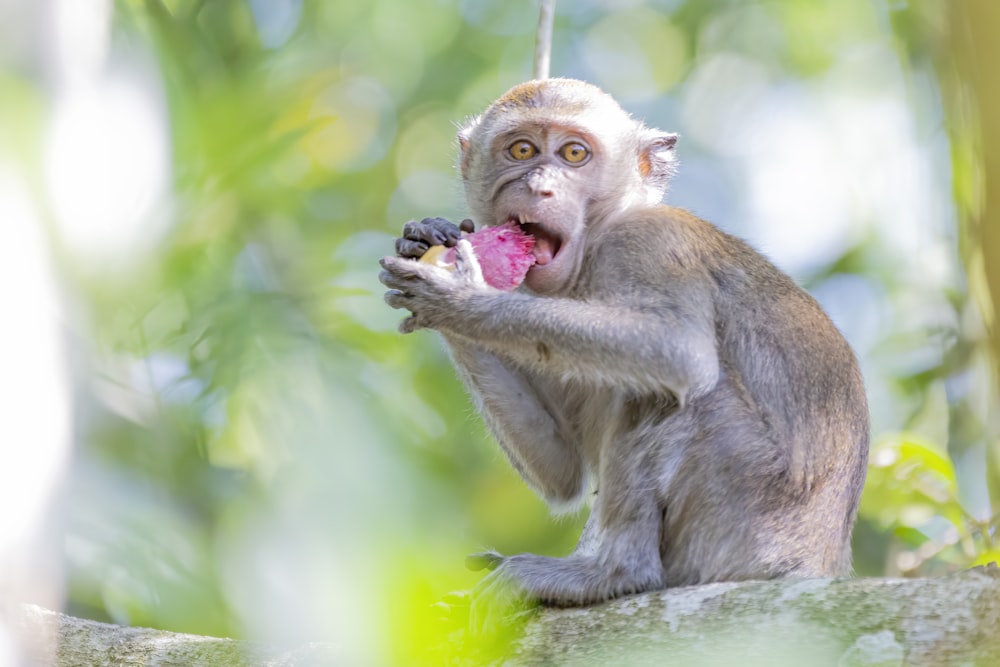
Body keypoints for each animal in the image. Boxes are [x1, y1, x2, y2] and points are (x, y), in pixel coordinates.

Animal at [376, 78, 868, 632]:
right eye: (521, 150)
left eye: (574, 154)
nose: (541, 187)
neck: (596, 242)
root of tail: (814, 564)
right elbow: (561, 468)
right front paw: (426, 239)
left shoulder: (649, 245)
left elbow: (678, 353)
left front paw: (456, 298)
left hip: (745, 515)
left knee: (677, 393)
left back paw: (613, 574)